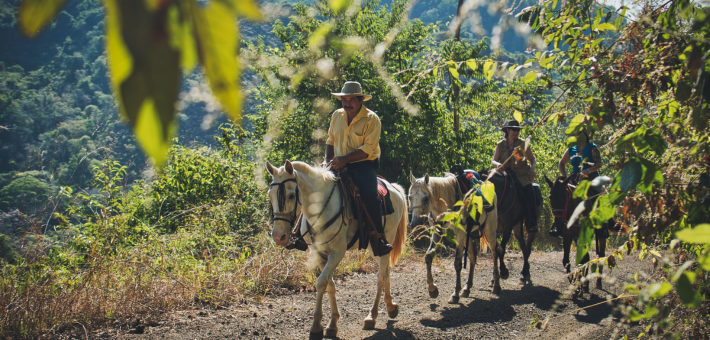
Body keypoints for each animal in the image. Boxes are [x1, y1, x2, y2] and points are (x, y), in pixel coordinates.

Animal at [266, 161, 412, 338]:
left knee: (380, 277)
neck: (321, 206)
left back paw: (372, 316)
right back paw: (391, 307)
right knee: (387, 272)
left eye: (291, 195)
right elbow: (330, 285)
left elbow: (321, 282)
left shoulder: (337, 252)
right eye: (270, 195)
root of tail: (393, 187)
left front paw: (316, 326)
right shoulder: (319, 253)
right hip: (375, 248)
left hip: (387, 239)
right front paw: (332, 324)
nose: (278, 236)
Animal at [408, 173, 504, 302]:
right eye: (410, 197)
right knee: (473, 256)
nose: (415, 225)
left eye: (426, 198)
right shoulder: (437, 233)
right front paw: (432, 289)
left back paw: (496, 285)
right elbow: (428, 257)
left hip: (489, 229)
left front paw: (455, 294)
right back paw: (467, 288)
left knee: (494, 253)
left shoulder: (460, 235)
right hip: (468, 236)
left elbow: (457, 263)